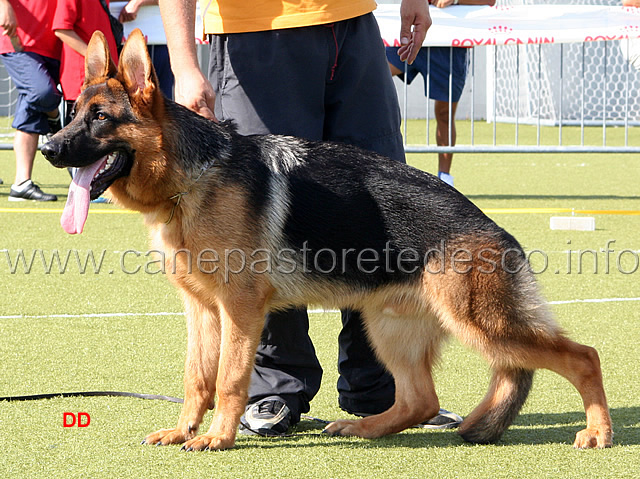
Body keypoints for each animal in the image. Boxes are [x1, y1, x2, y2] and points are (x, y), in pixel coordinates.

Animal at [41, 31, 616, 454]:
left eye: (100, 118)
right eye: (73, 114)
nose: (48, 147)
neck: (193, 178)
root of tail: (494, 228)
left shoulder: (240, 311)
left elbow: (228, 379)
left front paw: (219, 438)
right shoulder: (201, 311)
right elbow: (196, 379)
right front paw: (185, 430)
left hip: (480, 325)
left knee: (583, 356)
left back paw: (599, 432)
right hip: (386, 325)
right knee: (420, 401)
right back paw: (361, 429)